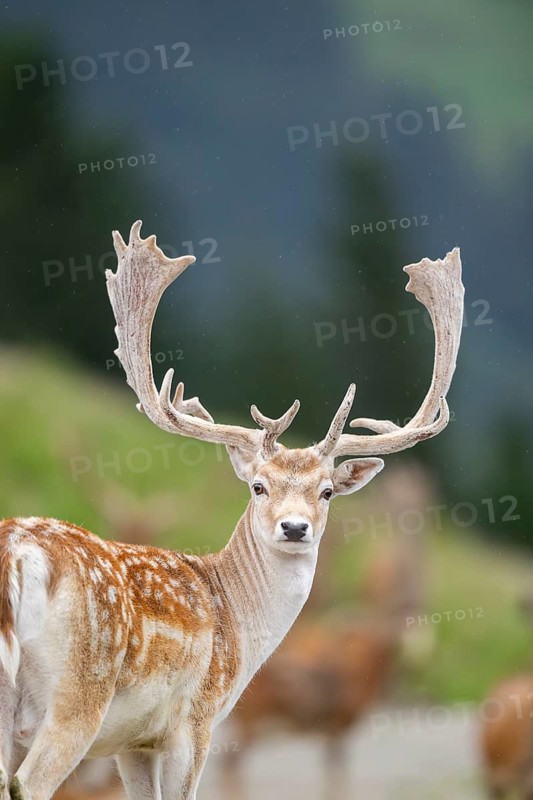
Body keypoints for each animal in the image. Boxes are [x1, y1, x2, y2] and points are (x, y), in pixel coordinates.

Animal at [0, 220, 464, 800]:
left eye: (327, 492)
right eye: (259, 487)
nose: (295, 527)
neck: (237, 626)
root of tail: (19, 560)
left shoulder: (135, 742)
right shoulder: (195, 719)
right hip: (77, 696)